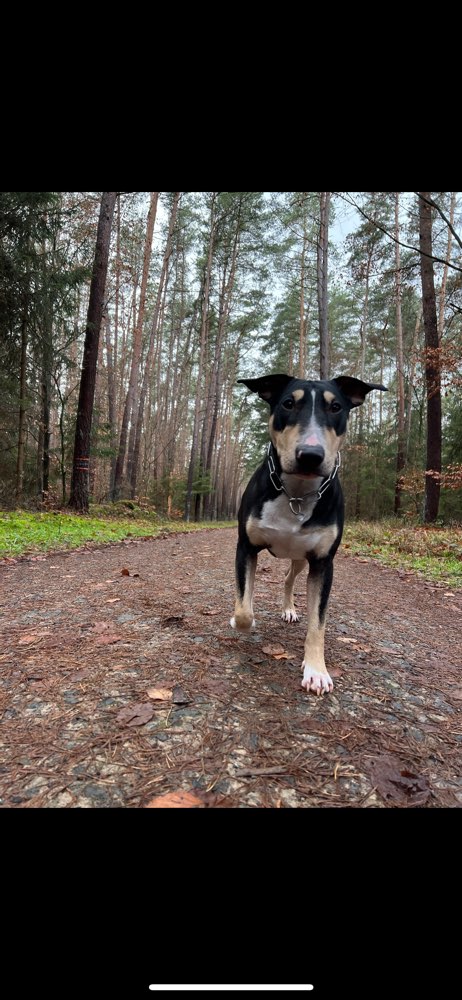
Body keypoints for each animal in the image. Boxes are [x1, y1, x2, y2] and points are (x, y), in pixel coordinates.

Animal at [231, 376, 386, 696]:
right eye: (288, 403)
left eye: (336, 407)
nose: (310, 456)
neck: (297, 493)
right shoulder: (246, 547)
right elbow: (244, 609)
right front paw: (240, 620)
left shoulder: (323, 563)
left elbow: (318, 623)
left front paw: (316, 670)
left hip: (301, 558)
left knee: (289, 579)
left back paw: (289, 609)